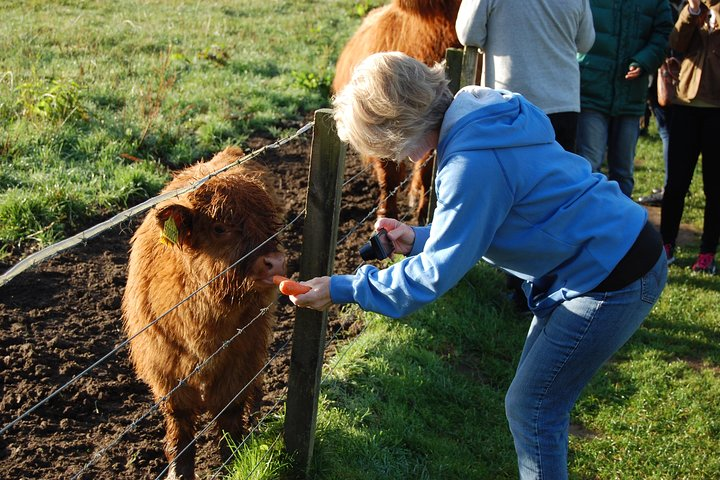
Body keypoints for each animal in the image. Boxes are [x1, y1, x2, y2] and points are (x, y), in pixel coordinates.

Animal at [121, 147, 284, 480]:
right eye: (220, 228)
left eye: (269, 221)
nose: (274, 262)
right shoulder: (165, 368)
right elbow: (180, 425)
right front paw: (179, 472)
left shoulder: (242, 354)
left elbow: (230, 410)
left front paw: (233, 460)